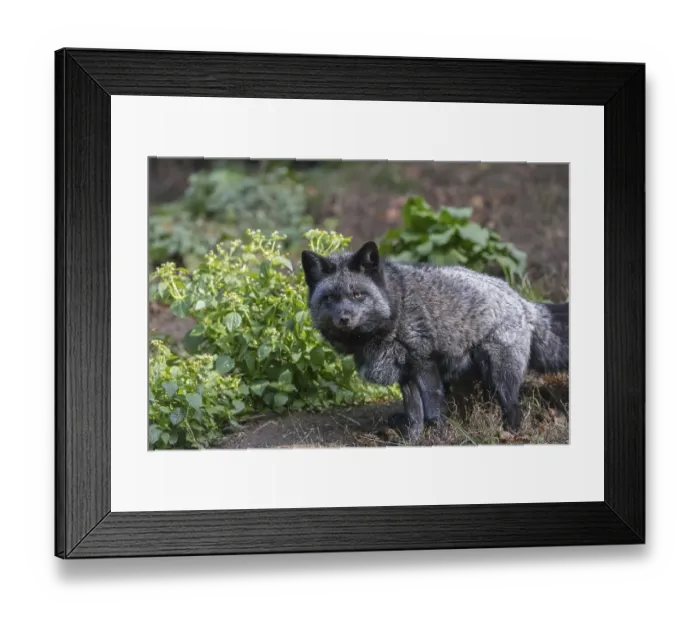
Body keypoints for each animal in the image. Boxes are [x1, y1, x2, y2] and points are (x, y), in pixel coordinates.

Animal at [300, 240, 569, 441]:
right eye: (330, 298)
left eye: (358, 295)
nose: (344, 318)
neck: (396, 308)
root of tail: (522, 302)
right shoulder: (405, 372)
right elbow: (414, 413)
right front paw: (412, 439)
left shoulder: (423, 362)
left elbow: (431, 408)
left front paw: (437, 437)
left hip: (500, 374)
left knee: (513, 407)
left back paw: (510, 434)